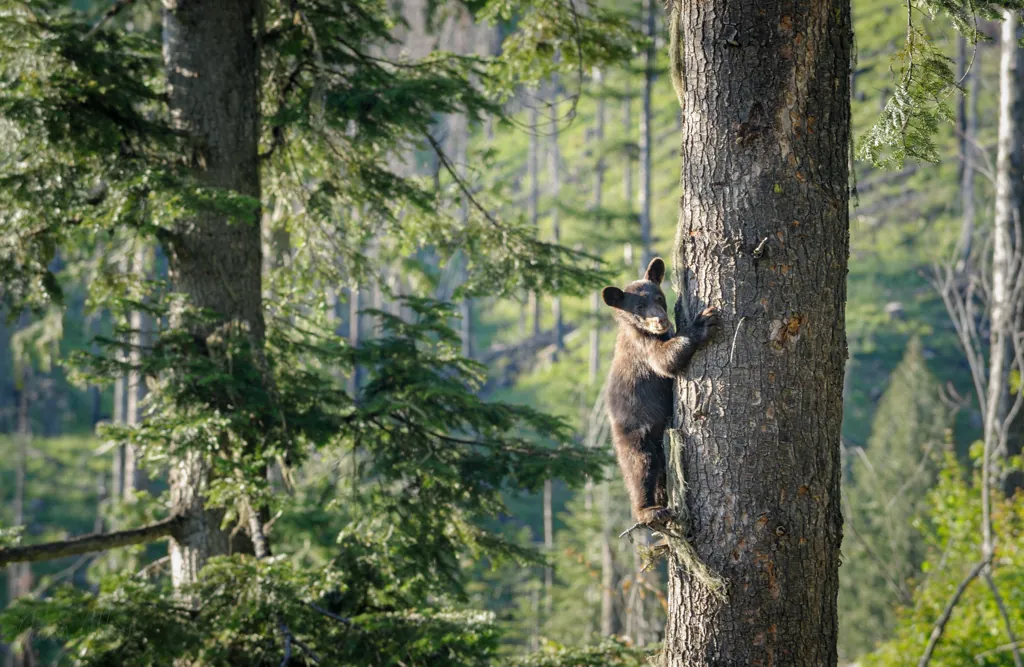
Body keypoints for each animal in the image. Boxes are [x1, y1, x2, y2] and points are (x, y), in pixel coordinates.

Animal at [601, 257, 718, 528]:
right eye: (639, 306)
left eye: (658, 298)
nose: (661, 321)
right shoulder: (643, 348)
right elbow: (665, 360)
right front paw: (702, 322)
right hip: (632, 433)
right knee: (639, 467)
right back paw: (650, 510)